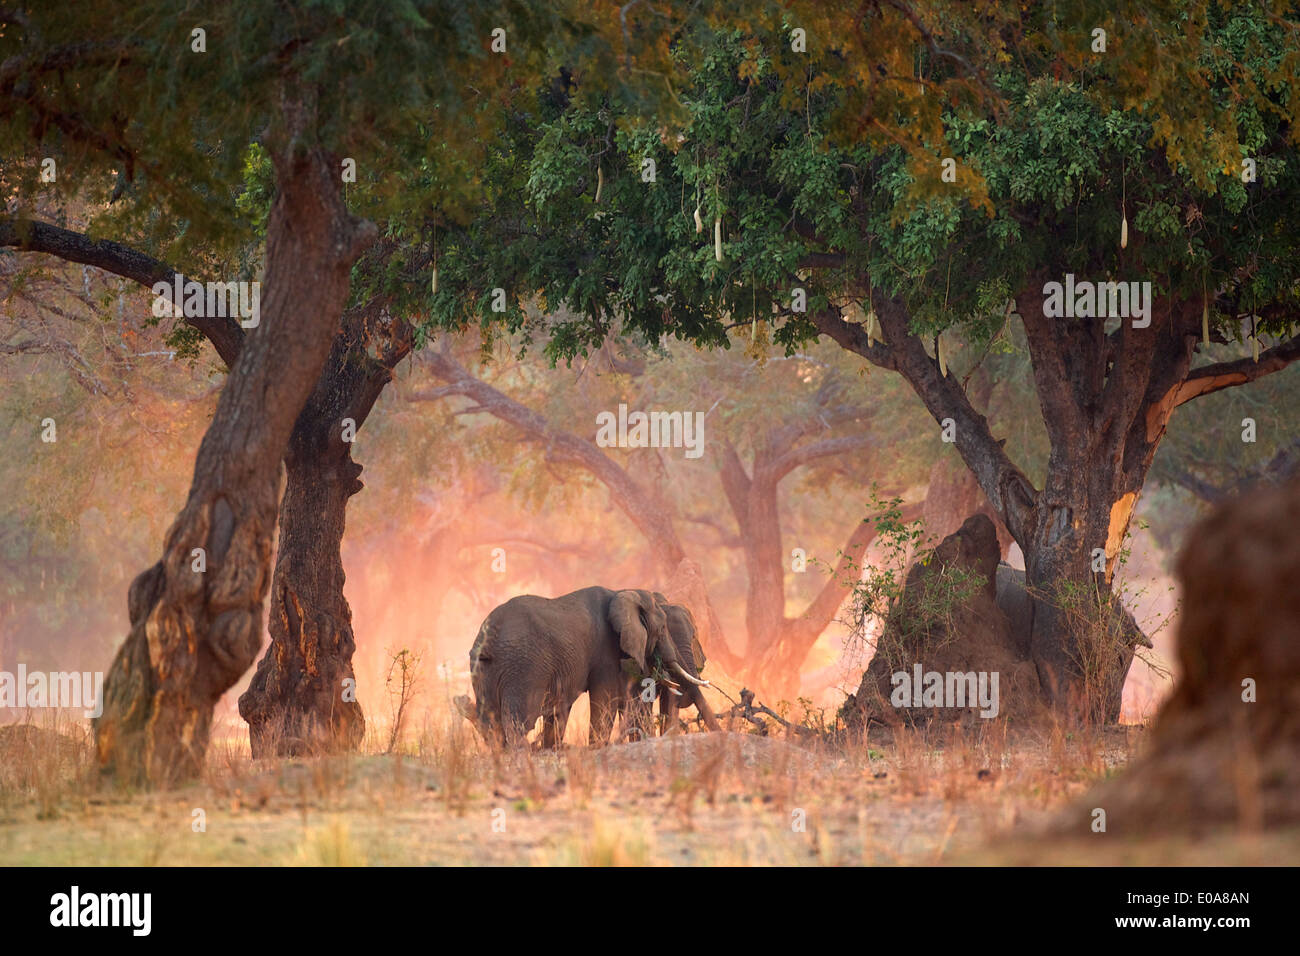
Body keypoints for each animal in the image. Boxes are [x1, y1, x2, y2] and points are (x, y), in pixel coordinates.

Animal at [452, 582, 707, 749]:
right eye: (662, 629)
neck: (623, 593)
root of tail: (490, 634)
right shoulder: (605, 651)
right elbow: (605, 698)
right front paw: (597, 748)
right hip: (523, 665)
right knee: (518, 720)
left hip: (484, 669)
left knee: (491, 717)